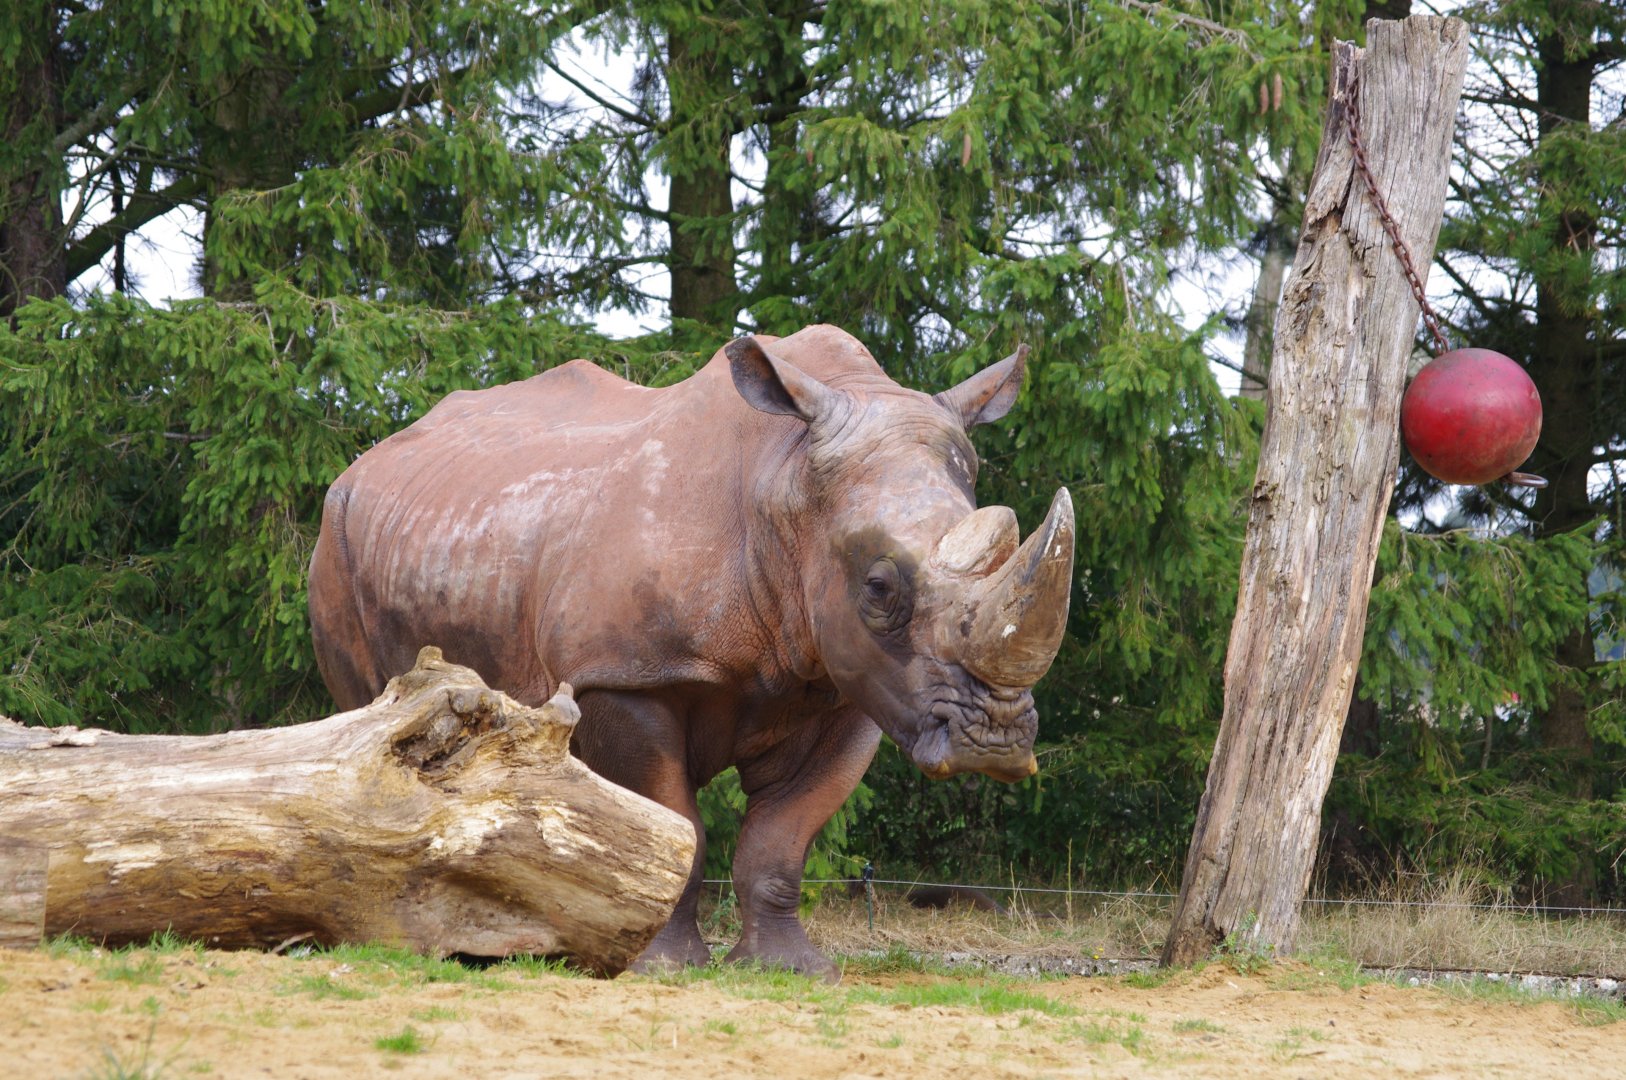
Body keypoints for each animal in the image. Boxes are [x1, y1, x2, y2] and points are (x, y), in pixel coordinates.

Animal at [307, 324, 1074, 980]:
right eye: (879, 587)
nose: (995, 742)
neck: (785, 487)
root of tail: (371, 457)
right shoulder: (626, 678)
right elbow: (677, 824)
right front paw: (664, 966)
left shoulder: (849, 687)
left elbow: (781, 838)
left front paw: (792, 969)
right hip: (335, 538)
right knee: (376, 726)